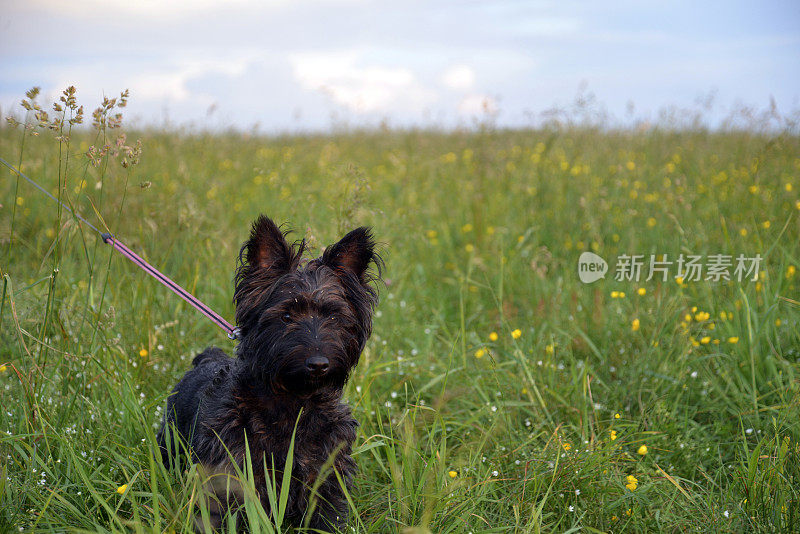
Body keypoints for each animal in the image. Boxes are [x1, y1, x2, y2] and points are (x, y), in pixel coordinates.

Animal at [159, 217, 382, 532]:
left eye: (334, 316)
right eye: (286, 316)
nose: (319, 364)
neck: (293, 402)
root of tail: (207, 357)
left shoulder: (325, 473)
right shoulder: (237, 473)